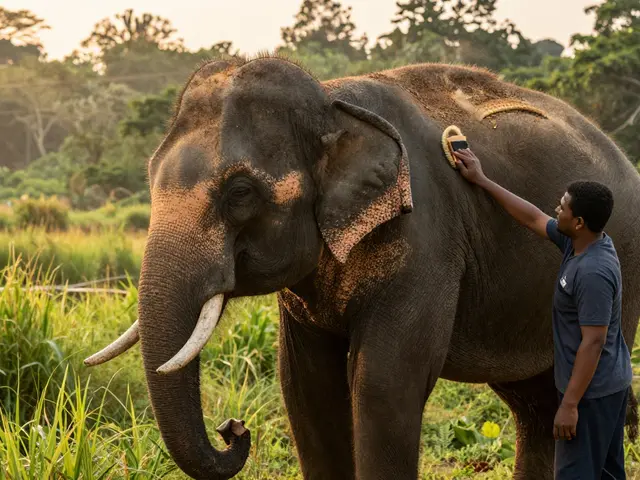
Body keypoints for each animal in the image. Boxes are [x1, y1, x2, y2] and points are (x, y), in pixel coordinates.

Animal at [84, 55, 640, 480]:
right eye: (149, 178)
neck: (332, 104)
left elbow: (382, 384)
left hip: (623, 272)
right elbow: (305, 386)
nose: (233, 428)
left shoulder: (425, 240)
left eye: (240, 192)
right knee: (535, 405)